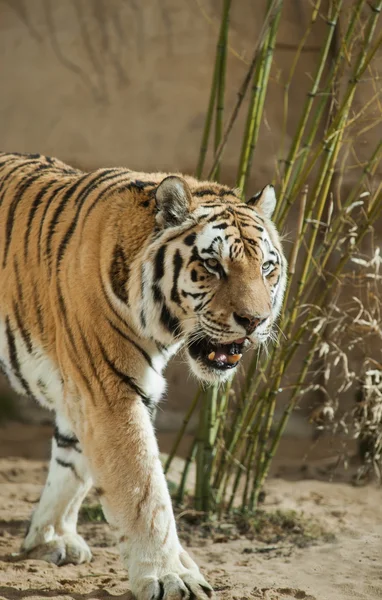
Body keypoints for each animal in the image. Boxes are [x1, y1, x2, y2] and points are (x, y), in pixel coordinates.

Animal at [0, 152, 286, 600]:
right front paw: (171, 576)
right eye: (212, 265)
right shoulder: (109, 390)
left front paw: (48, 538)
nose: (256, 321)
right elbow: (143, 489)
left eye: (268, 268)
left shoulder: (83, 390)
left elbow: (72, 466)